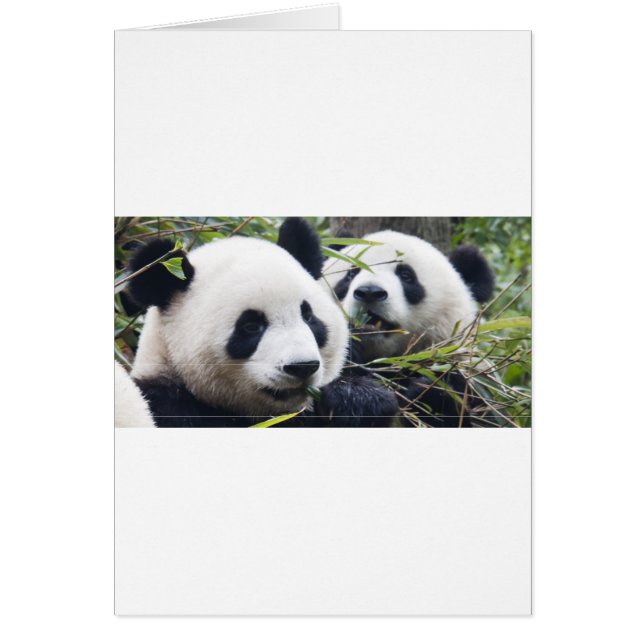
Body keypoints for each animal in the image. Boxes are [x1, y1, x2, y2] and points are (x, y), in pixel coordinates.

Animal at [322, 230, 495, 427]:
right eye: (350, 274)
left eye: (406, 276)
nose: (369, 292)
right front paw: (360, 398)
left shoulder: (472, 382)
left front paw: (430, 396)